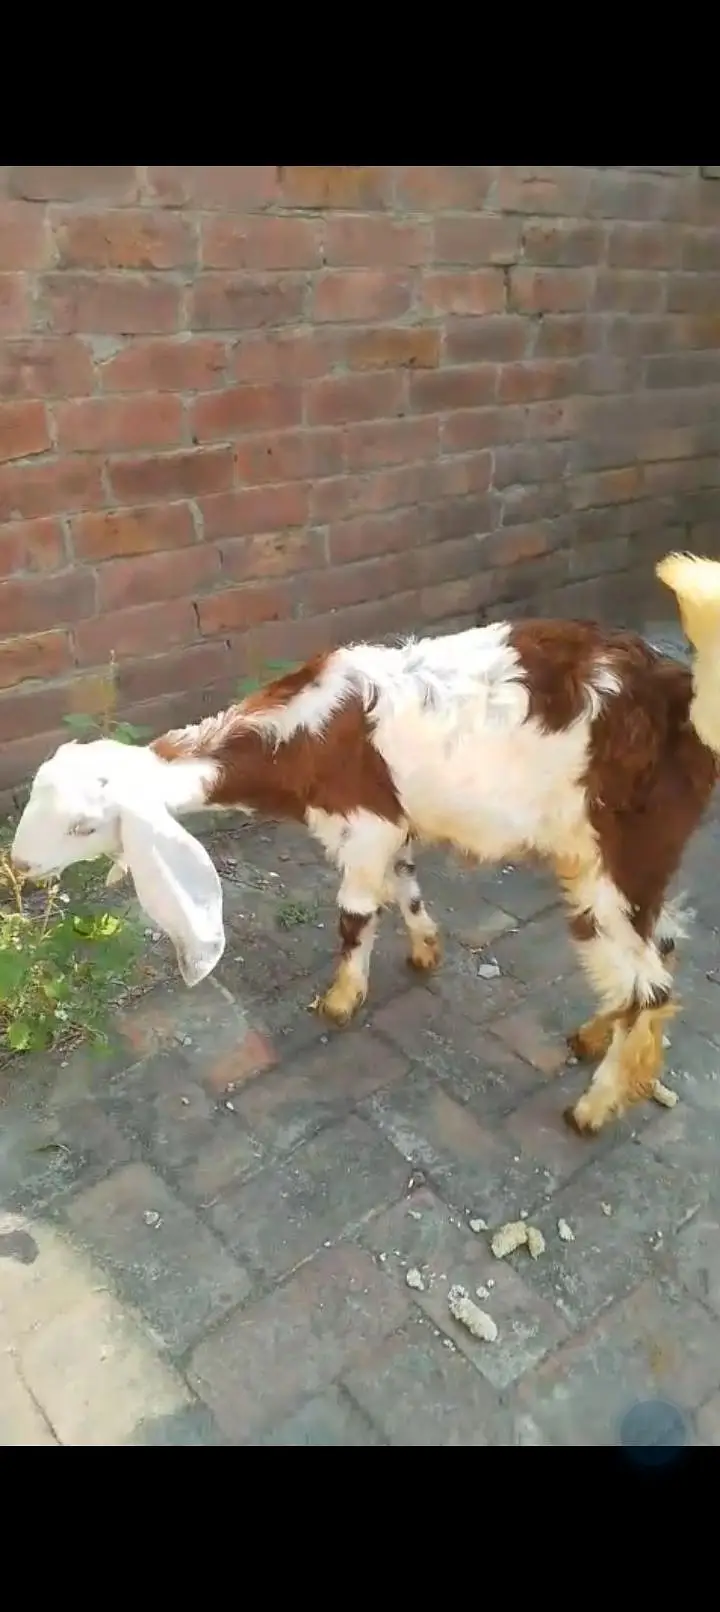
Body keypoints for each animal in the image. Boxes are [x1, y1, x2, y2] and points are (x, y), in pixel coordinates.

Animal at [11, 551, 720, 1135]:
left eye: (82, 825)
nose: (17, 864)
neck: (304, 733)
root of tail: (681, 700)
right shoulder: (392, 825)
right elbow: (405, 888)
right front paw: (426, 950)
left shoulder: (364, 821)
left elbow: (354, 915)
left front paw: (340, 999)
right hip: (624, 858)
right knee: (658, 952)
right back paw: (596, 1036)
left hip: (621, 853)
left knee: (650, 987)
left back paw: (595, 1106)